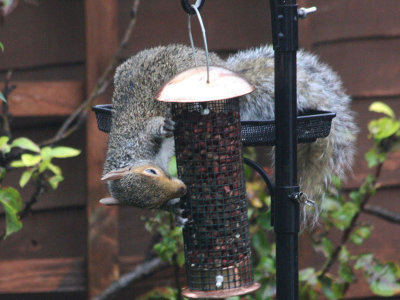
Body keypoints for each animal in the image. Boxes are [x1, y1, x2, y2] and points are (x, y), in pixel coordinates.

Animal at [101, 44, 358, 223]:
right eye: (153, 205)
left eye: (152, 172)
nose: (182, 190)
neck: (132, 154)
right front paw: (176, 211)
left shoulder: (141, 134)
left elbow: (152, 128)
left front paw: (164, 127)